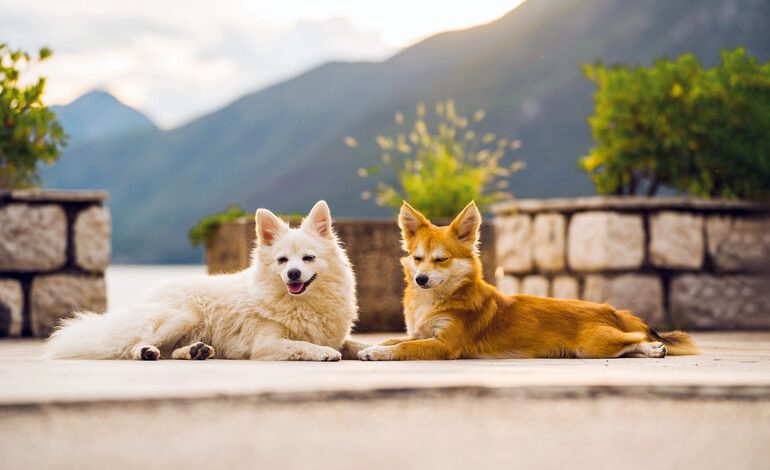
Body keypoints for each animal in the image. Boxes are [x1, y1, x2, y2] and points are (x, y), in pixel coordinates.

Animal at [45, 200, 364, 362]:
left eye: (308, 259)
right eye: (282, 261)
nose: (293, 274)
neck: (302, 303)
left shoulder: (339, 335)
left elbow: (354, 344)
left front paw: (369, 351)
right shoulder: (265, 344)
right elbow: (302, 345)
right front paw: (324, 352)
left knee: (171, 353)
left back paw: (195, 351)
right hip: (183, 316)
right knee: (134, 344)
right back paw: (147, 352)